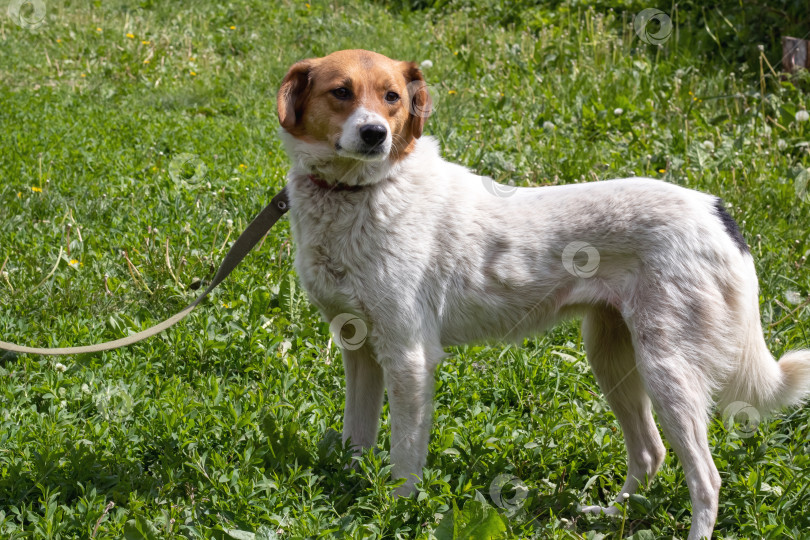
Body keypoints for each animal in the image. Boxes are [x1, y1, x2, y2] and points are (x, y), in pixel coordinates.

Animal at [276, 48, 808, 536]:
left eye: (392, 98)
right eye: (341, 92)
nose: (375, 135)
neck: (358, 192)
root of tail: (717, 212)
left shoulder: (409, 357)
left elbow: (404, 460)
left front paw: (398, 514)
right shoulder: (359, 349)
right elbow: (357, 440)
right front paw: (353, 492)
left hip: (668, 370)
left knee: (706, 480)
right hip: (613, 358)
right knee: (650, 452)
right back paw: (609, 515)